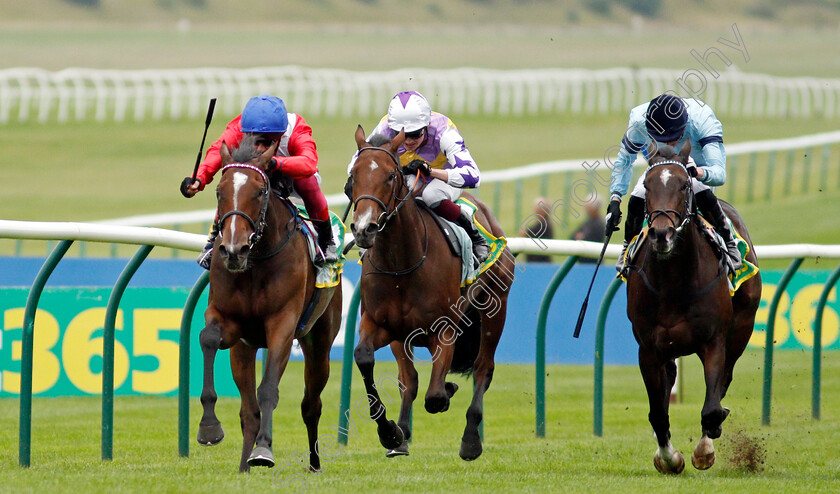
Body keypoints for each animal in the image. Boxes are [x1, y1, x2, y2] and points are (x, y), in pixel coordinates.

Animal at [197, 134, 342, 470]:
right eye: (219, 191)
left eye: (260, 191)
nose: (232, 250)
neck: (256, 260)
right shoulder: (227, 320)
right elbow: (208, 338)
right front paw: (209, 426)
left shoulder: (282, 324)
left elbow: (268, 390)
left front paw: (264, 449)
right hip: (244, 349)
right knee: (247, 410)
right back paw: (243, 466)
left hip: (321, 341)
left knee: (311, 403)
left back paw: (314, 463)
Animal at [344, 126, 516, 460]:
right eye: (353, 176)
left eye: (390, 176)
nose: (364, 229)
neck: (402, 265)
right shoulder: (382, 325)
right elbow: (366, 358)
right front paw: (390, 433)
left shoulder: (445, 328)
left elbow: (436, 396)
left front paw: (447, 392)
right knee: (409, 381)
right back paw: (402, 436)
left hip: (495, 309)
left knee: (482, 369)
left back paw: (471, 440)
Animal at [628, 143, 764, 474]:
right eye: (647, 185)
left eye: (684, 185)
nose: (661, 234)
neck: (674, 281)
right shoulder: (648, 348)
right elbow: (657, 412)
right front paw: (668, 458)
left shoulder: (714, 341)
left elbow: (712, 407)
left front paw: (704, 449)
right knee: (668, 383)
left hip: (742, 329)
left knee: (724, 381)